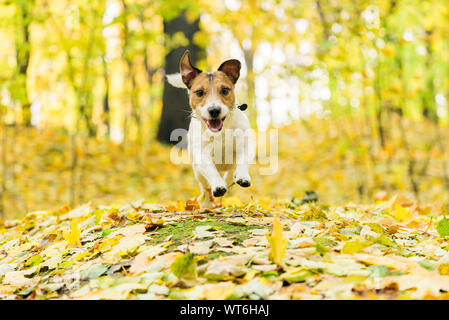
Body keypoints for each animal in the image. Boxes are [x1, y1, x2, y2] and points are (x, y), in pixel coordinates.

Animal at [166, 49, 254, 208]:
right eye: (200, 92)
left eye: (225, 90)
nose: (214, 110)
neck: (221, 132)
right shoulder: (202, 155)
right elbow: (211, 171)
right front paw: (218, 186)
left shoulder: (245, 145)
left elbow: (243, 160)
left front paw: (243, 176)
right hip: (197, 172)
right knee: (205, 187)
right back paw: (207, 204)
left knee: (230, 173)